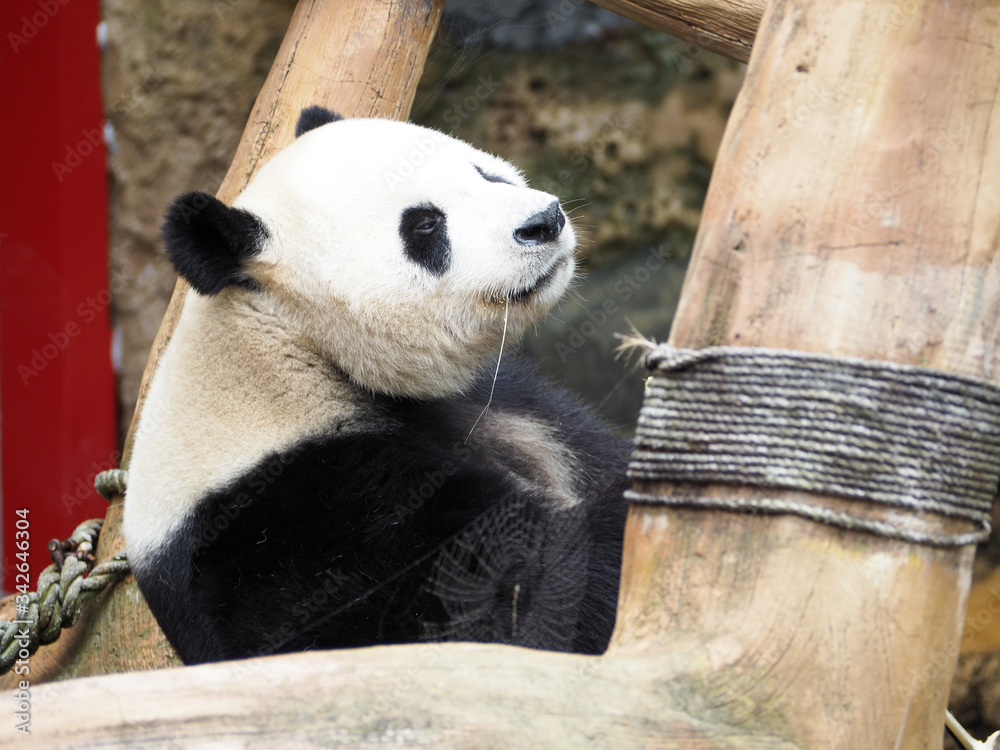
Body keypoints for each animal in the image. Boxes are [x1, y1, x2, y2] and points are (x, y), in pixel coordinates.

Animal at [123, 106, 631, 665]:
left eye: (485, 172)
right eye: (425, 224)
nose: (544, 221)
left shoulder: (505, 405)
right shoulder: (298, 522)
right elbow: (519, 601)